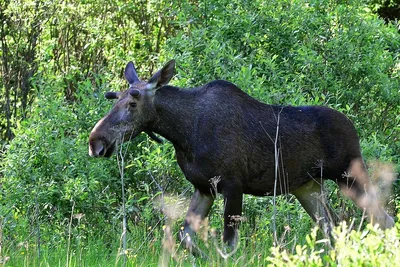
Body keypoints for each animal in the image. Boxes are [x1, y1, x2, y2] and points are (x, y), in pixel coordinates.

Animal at [90, 59, 394, 252]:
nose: (96, 142)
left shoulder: (233, 185)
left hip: (349, 174)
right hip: (308, 187)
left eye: (132, 103)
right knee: (333, 228)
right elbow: (186, 238)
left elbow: (229, 244)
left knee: (383, 218)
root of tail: (353, 127)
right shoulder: (204, 188)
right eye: (114, 99)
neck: (183, 133)